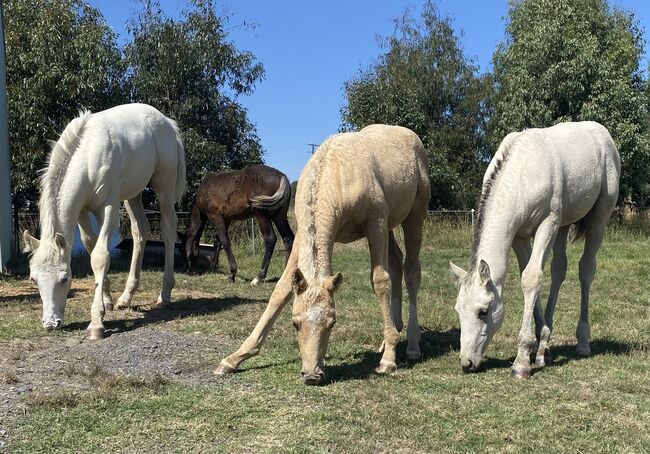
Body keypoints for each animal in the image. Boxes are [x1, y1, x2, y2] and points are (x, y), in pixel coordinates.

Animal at [22, 102, 185, 336]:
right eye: (34, 279)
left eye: (64, 278)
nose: (51, 323)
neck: (87, 155)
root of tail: (167, 122)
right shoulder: (81, 210)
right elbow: (91, 245)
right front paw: (107, 301)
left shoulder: (107, 208)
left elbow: (100, 256)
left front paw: (96, 322)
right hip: (133, 194)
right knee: (140, 230)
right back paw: (126, 297)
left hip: (164, 186)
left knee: (169, 227)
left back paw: (164, 295)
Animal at [210, 125, 430, 386]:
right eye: (295, 323)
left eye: (332, 323)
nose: (312, 375)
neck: (336, 176)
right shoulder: (303, 237)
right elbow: (280, 290)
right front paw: (233, 359)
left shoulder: (375, 223)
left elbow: (380, 280)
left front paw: (388, 361)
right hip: (389, 225)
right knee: (396, 263)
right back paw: (389, 338)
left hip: (414, 214)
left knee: (412, 271)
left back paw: (412, 345)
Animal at [448, 122, 616, 378]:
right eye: (458, 310)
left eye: (483, 312)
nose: (467, 363)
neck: (521, 175)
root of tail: (602, 132)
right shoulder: (518, 235)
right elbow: (528, 277)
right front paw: (539, 349)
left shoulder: (548, 222)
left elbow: (532, 278)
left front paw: (521, 363)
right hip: (563, 225)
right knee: (558, 271)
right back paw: (546, 345)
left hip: (599, 217)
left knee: (586, 269)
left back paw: (583, 343)